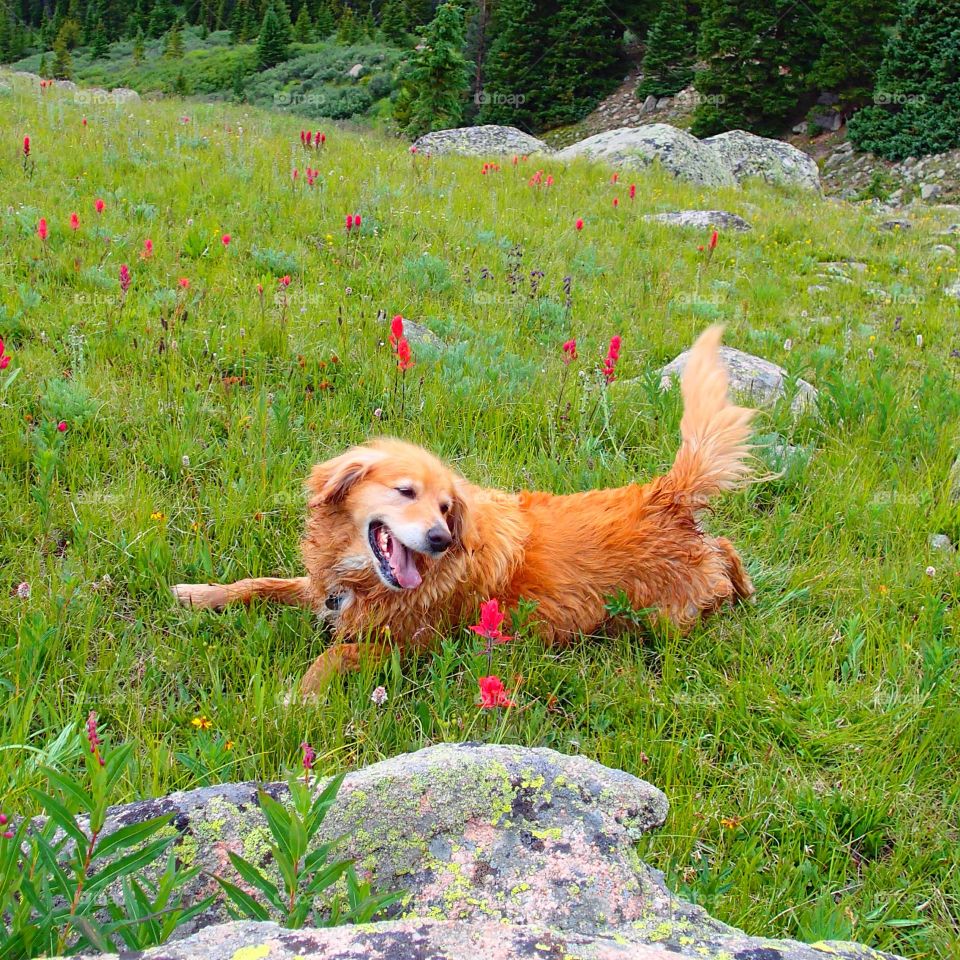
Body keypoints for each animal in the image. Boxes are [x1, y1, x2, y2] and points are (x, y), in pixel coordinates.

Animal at [172, 326, 756, 692]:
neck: (363, 579)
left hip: (667, 619)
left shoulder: (409, 645)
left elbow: (334, 654)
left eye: (446, 507)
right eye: (406, 492)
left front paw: (301, 694)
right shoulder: (325, 591)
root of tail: (666, 495)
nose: (440, 539)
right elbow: (260, 583)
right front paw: (199, 594)